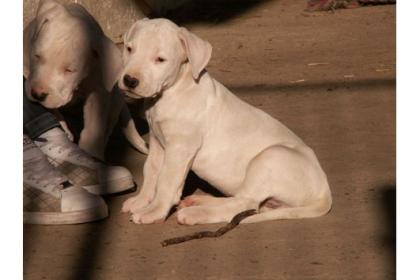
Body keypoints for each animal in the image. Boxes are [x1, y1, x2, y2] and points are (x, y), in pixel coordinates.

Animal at [24, 0, 149, 160]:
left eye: (70, 70)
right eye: (37, 56)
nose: (38, 94)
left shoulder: (98, 93)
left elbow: (94, 128)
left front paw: (92, 153)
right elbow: (52, 110)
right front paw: (63, 126)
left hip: (116, 98)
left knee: (108, 127)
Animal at [118, 18, 332, 225]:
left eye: (160, 59)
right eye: (129, 49)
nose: (129, 80)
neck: (175, 90)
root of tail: (324, 190)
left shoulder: (180, 148)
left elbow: (166, 180)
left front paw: (154, 212)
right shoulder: (157, 142)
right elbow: (151, 171)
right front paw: (142, 201)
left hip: (272, 157)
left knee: (243, 204)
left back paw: (196, 213)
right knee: (248, 205)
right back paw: (198, 201)